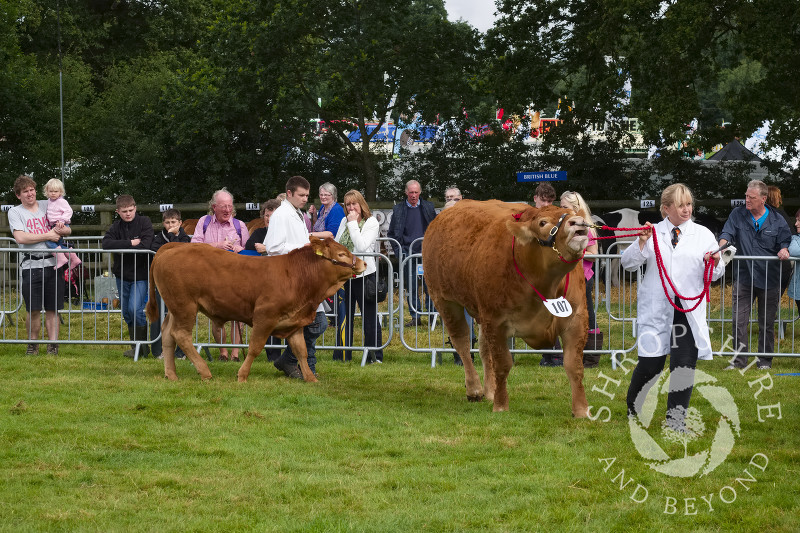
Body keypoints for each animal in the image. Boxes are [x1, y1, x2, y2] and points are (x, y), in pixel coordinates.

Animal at [145, 238, 366, 382]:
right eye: (341, 254)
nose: (363, 262)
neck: (296, 276)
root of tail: (175, 246)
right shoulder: (264, 317)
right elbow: (254, 347)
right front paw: (242, 375)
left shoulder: (294, 323)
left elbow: (301, 351)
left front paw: (310, 378)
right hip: (185, 306)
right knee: (180, 335)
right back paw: (204, 371)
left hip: (175, 309)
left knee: (167, 335)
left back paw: (171, 374)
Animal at [424, 200, 588, 416]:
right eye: (543, 223)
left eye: (570, 212)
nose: (578, 222)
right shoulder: (496, 321)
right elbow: (502, 364)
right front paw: (501, 405)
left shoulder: (576, 319)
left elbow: (573, 365)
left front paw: (582, 410)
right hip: (445, 301)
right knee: (462, 343)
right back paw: (474, 389)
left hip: (480, 312)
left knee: (484, 348)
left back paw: (490, 390)